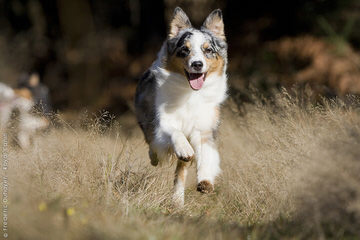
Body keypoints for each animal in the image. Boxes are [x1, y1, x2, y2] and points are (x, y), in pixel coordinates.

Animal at [135, 7, 228, 206]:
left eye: (208, 50)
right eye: (185, 50)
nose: (197, 64)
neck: (190, 93)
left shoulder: (204, 128)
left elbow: (206, 156)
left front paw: (205, 182)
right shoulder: (162, 121)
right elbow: (174, 132)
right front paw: (184, 148)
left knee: (180, 171)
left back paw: (177, 200)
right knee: (152, 145)